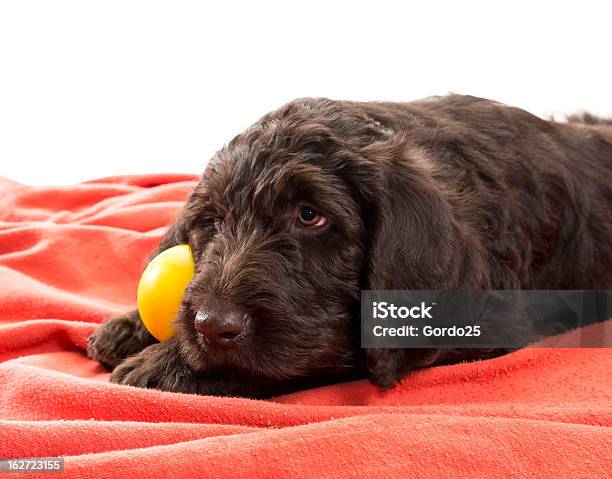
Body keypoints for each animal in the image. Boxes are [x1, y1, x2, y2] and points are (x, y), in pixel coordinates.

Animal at [87, 94, 612, 398]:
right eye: (211, 221)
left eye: (310, 216)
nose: (213, 325)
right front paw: (130, 326)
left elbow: (312, 355)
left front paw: (166, 366)